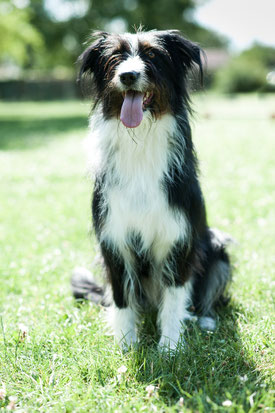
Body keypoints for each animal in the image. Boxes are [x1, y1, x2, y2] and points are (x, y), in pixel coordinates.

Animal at [71, 29, 233, 350]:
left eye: (153, 55)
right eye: (115, 57)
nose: (128, 75)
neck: (140, 142)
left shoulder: (178, 237)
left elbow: (174, 297)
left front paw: (170, 347)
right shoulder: (114, 238)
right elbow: (121, 297)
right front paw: (126, 345)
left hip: (216, 245)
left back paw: (205, 320)